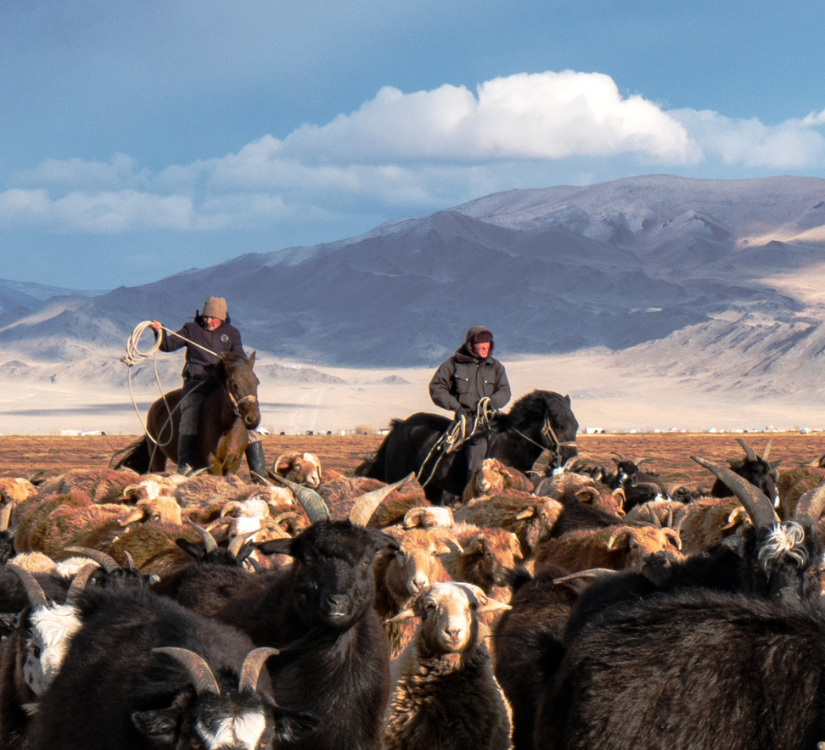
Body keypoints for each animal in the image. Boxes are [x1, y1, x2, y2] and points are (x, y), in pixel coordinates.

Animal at [112, 352, 260, 476]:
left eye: (257, 382)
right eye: (234, 384)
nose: (253, 418)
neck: (226, 428)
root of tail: (155, 405)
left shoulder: (233, 464)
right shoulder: (213, 463)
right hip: (157, 454)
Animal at [356, 394, 580, 506]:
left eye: (576, 425)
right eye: (559, 424)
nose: (570, 459)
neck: (510, 446)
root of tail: (400, 426)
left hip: (432, 485)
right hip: (396, 480)